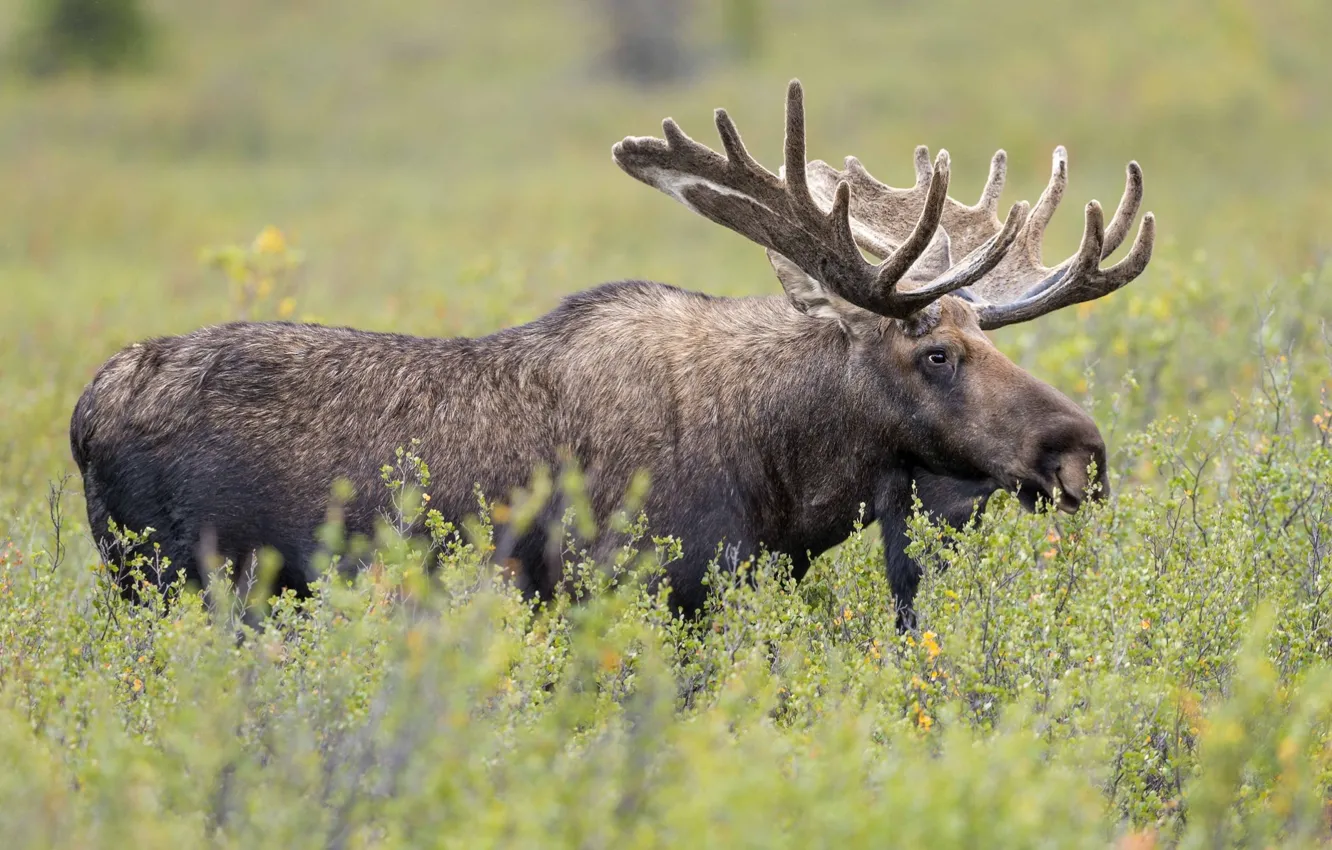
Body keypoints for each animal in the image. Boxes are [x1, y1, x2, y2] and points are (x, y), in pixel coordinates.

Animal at [70, 80, 1154, 629]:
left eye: (980, 335)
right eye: (935, 354)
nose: (1081, 452)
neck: (783, 470)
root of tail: (83, 416)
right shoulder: (632, 587)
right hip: (171, 584)